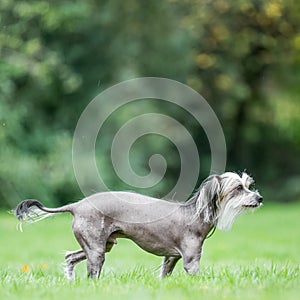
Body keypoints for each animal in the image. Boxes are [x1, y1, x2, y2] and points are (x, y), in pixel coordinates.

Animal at [14, 172, 262, 280]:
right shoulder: (191, 262)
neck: (193, 214)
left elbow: (164, 275)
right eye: (238, 188)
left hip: (100, 246)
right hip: (96, 251)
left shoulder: (170, 259)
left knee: (69, 258)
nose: (259, 198)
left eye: (248, 185)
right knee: (92, 274)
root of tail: (76, 205)